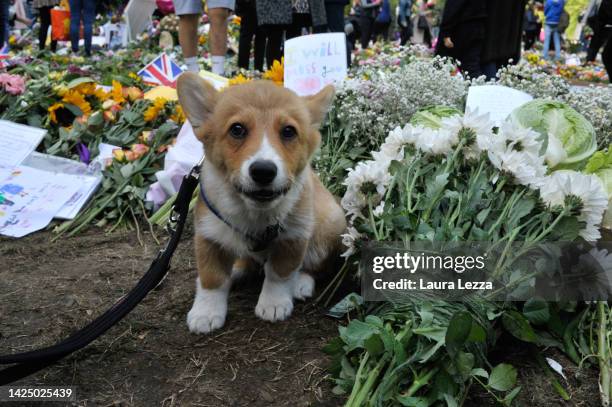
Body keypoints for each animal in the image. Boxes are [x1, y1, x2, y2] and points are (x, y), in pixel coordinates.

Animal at [177, 73, 350, 334]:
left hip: (330, 226)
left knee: (314, 266)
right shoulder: (208, 236)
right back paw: (238, 269)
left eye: (288, 131)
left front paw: (274, 304)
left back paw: (301, 283)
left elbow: (279, 272)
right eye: (237, 129)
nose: (263, 171)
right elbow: (211, 278)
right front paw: (206, 313)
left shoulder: (294, 236)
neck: (253, 212)